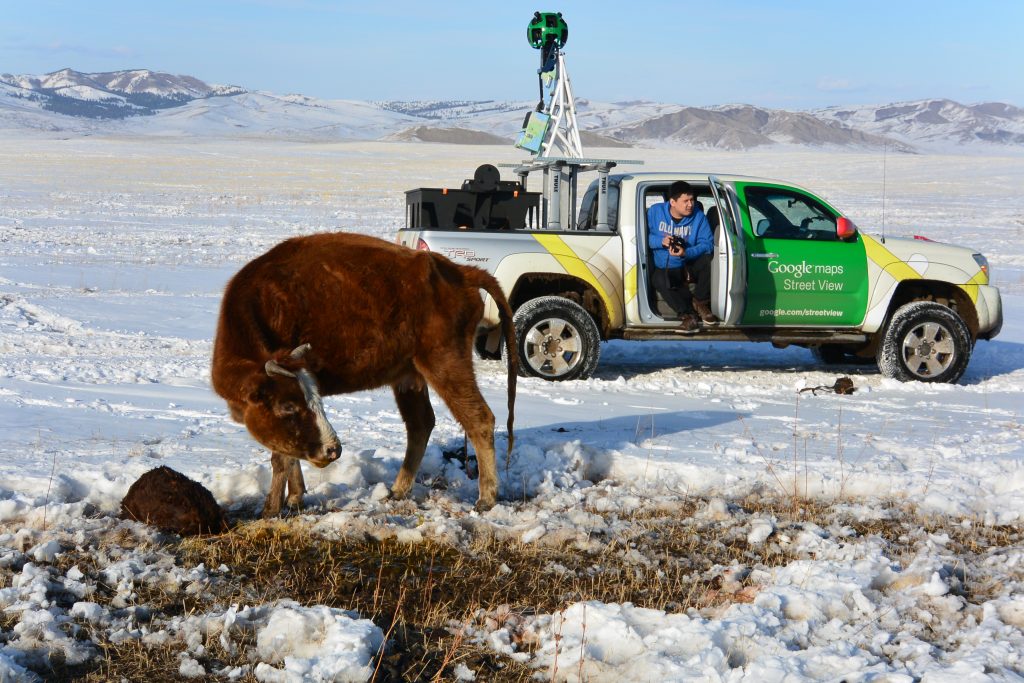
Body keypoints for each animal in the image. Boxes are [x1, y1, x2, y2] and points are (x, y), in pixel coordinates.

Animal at [209, 232, 512, 516]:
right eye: (289, 406)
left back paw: (486, 499)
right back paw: (397, 491)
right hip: (409, 375)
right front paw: (295, 498)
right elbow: (289, 451)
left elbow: (280, 458)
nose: (334, 449)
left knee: (479, 419)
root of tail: (460, 271)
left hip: (445, 362)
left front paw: (271, 509)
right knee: (420, 424)